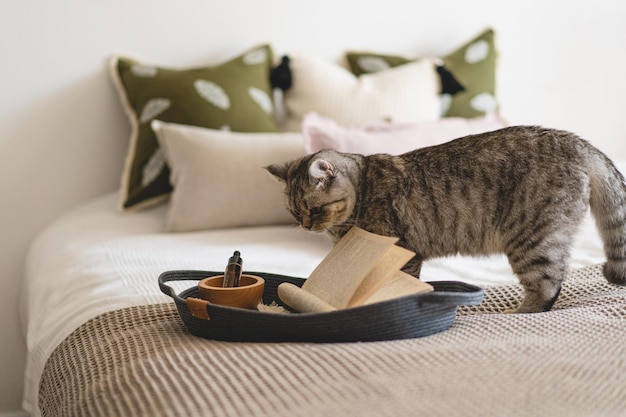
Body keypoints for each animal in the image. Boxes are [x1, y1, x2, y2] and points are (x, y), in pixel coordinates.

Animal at [266, 126, 624, 312]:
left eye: (314, 210)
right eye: (296, 213)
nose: (306, 225)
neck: (364, 187)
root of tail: (578, 142)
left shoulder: (401, 252)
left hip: (533, 240)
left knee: (548, 285)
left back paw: (521, 311)